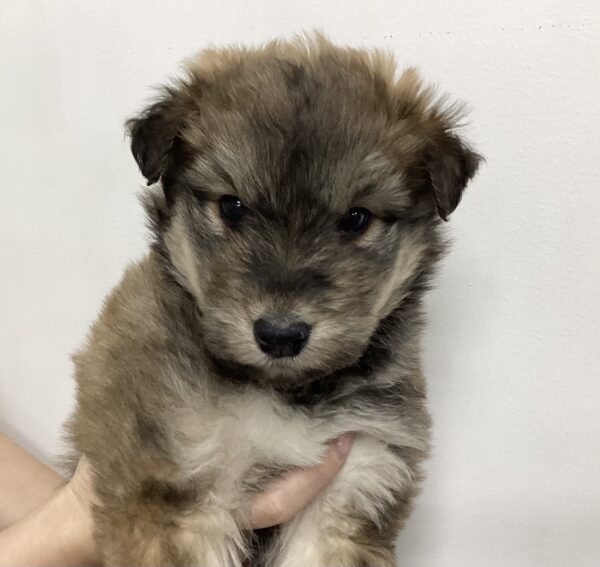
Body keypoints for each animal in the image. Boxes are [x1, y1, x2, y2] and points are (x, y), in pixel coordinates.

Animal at [64, 33, 481, 566]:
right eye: (232, 206)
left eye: (356, 218)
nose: (281, 335)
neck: (282, 392)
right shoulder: (179, 481)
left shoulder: (357, 476)